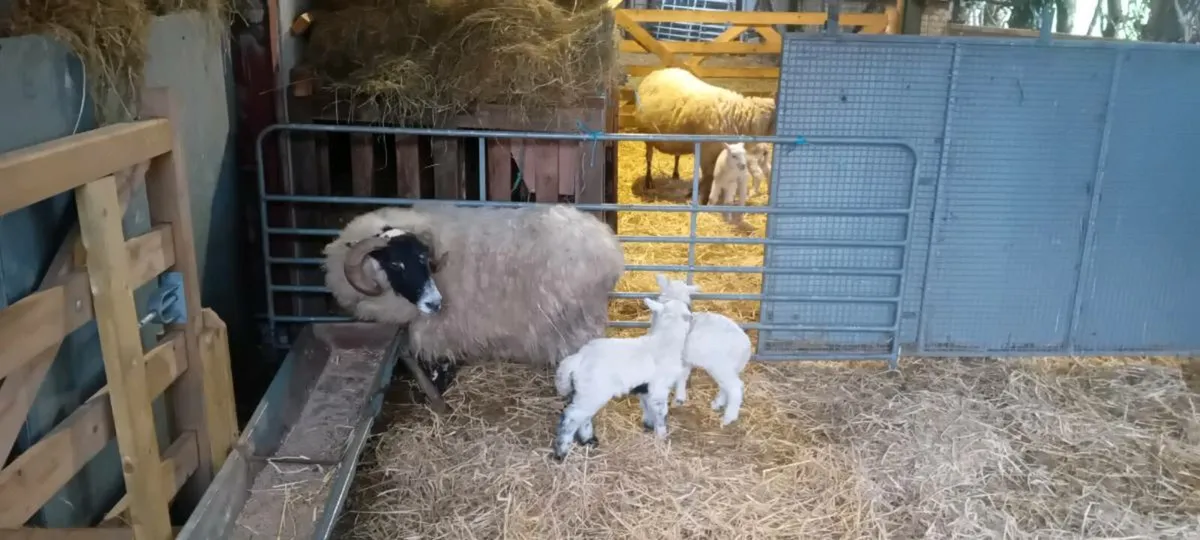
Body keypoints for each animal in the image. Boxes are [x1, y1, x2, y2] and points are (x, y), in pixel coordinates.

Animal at [322, 202, 625, 401]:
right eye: (395, 264)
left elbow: (438, 364)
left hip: (576, 321)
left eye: (423, 258)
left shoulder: (439, 330)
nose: (435, 303)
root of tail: (609, 248)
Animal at [551, 297, 694, 461]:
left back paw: (589, 440)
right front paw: (662, 436)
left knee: (584, 417)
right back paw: (561, 452)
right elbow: (661, 412)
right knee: (571, 418)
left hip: (585, 393)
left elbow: (647, 408)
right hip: (592, 392)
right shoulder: (659, 389)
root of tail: (578, 359)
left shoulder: (645, 390)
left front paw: (649, 426)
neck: (665, 342)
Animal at [632, 67, 776, 203]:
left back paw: (676, 174)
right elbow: (708, 176)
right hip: (648, 136)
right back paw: (649, 181)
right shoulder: (707, 152)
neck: (738, 116)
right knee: (649, 157)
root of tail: (657, 72)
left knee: (677, 155)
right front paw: (703, 197)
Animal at [655, 274, 753, 427]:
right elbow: (683, 376)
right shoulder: (685, 360)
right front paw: (680, 398)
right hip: (730, 368)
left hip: (722, 366)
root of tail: (746, 346)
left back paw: (728, 418)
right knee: (725, 387)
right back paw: (717, 404)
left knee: (735, 387)